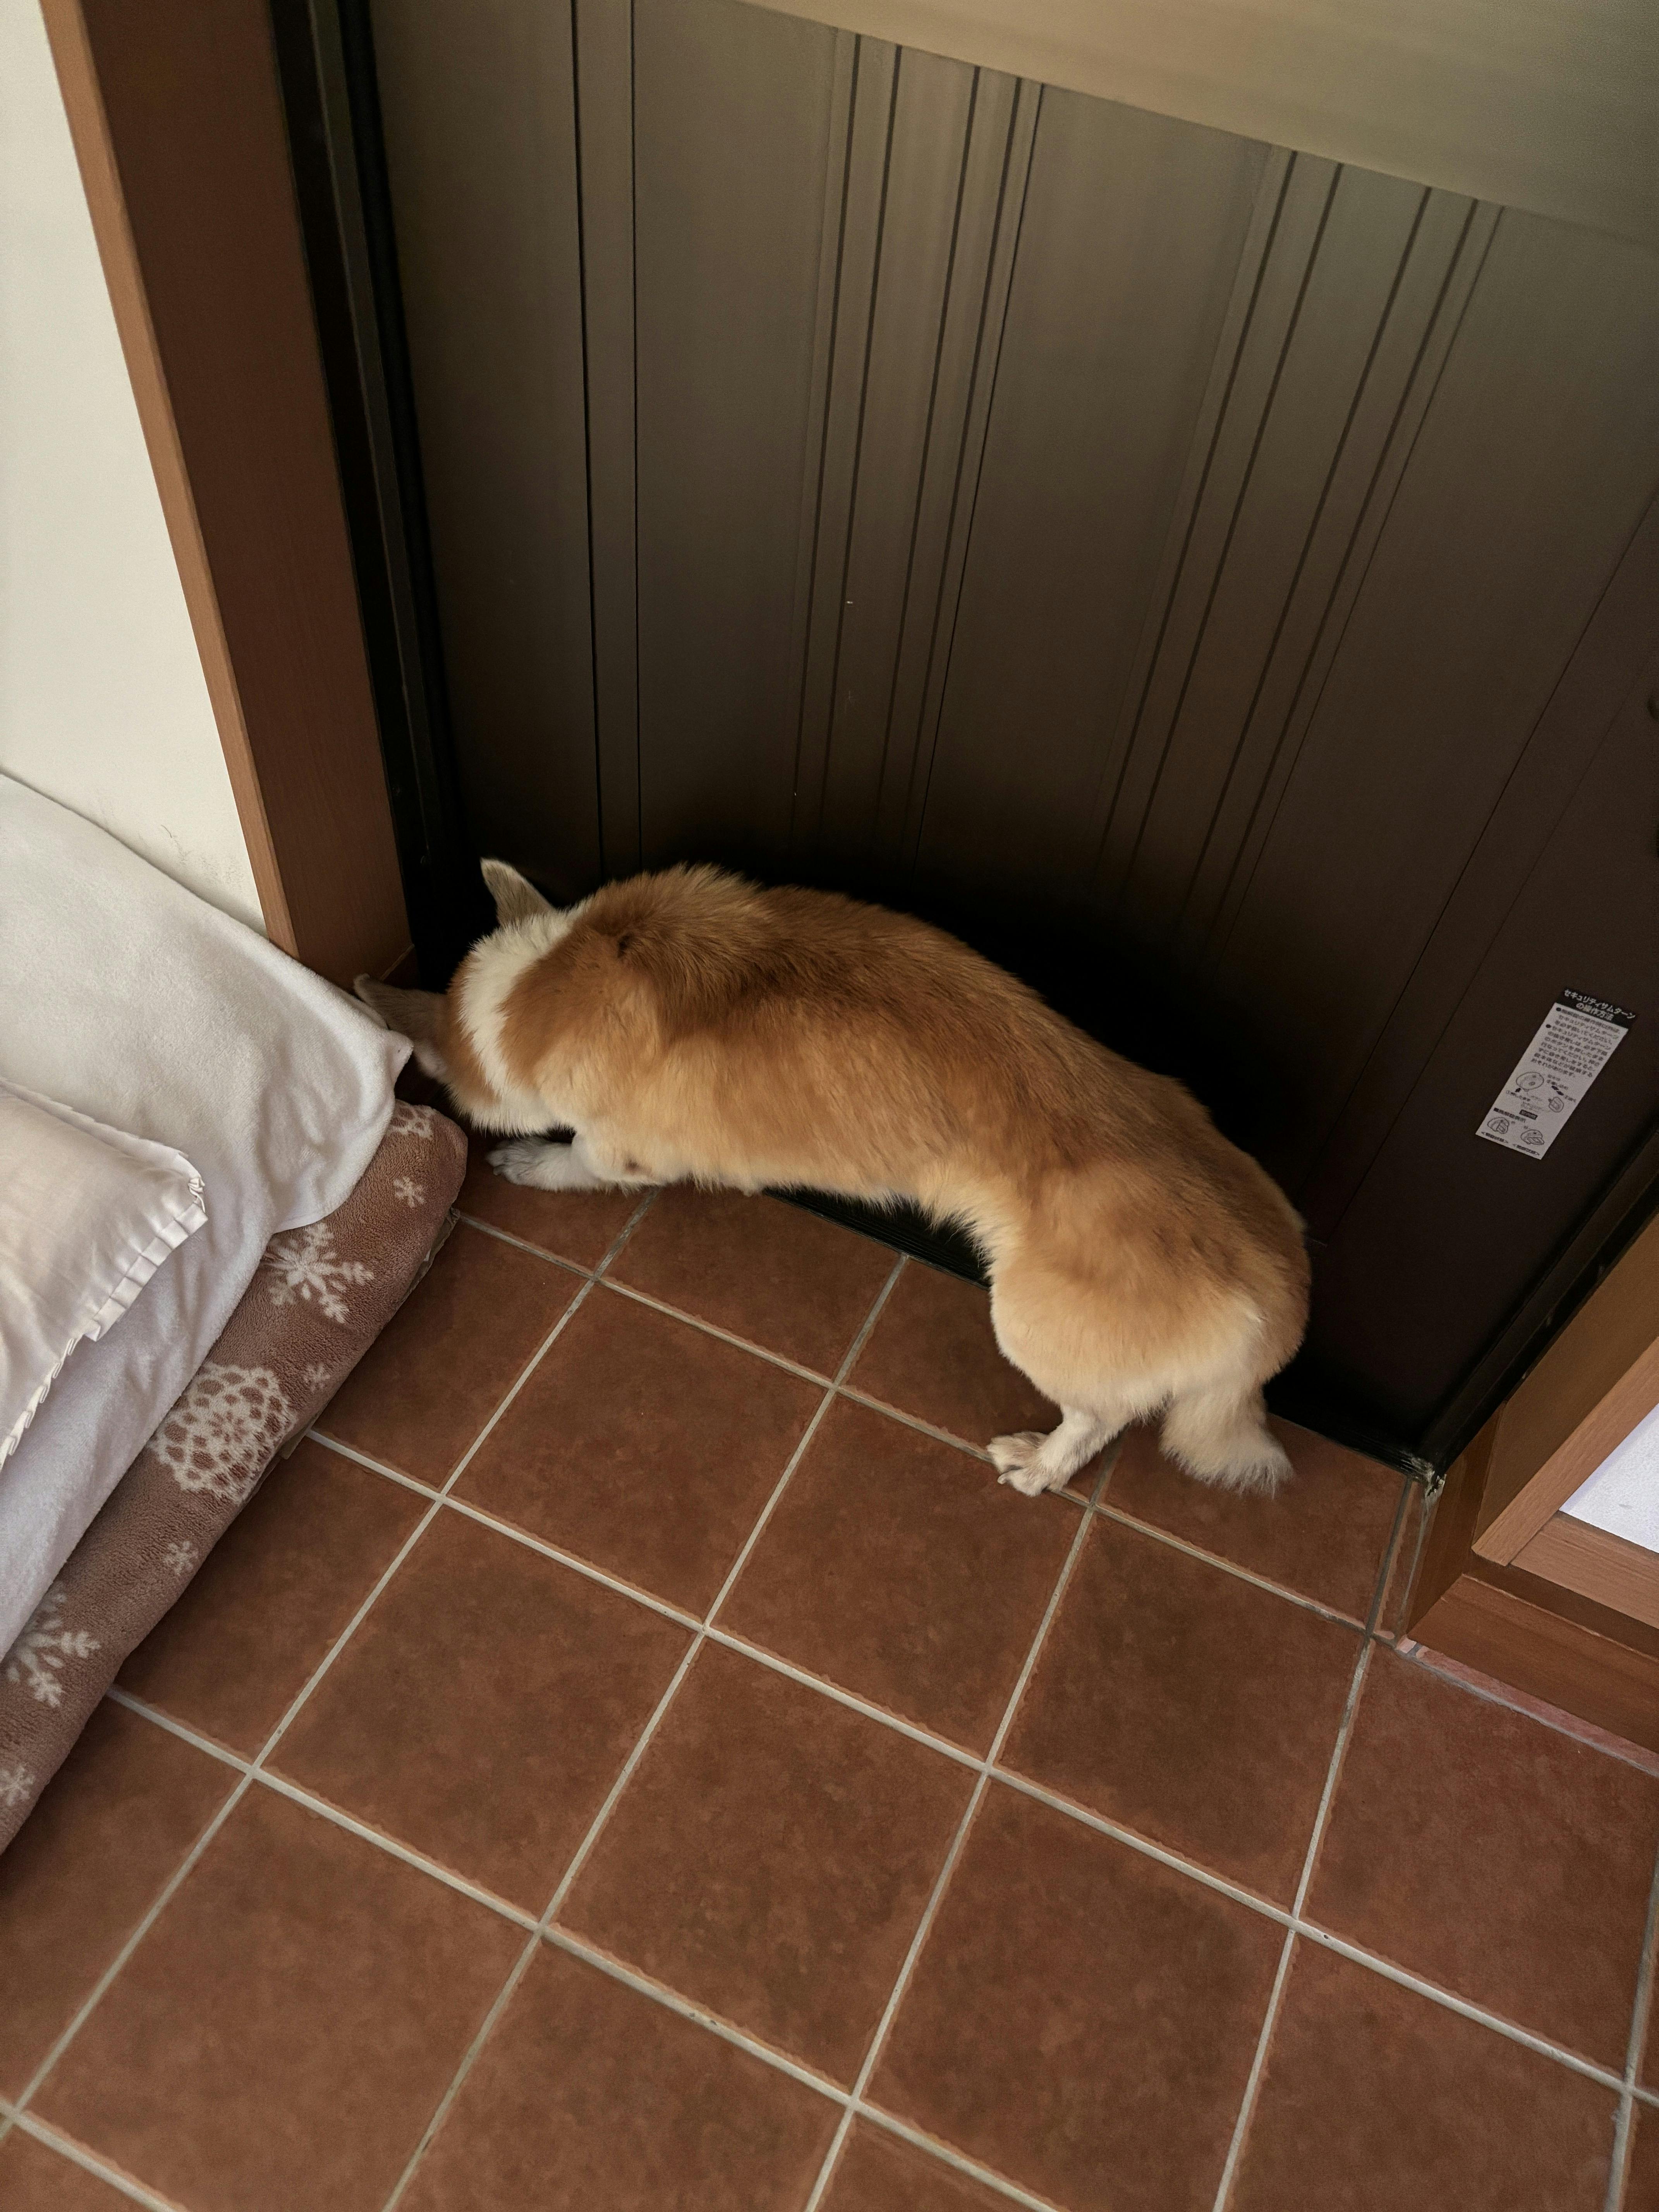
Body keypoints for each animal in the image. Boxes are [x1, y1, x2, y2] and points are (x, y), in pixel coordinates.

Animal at [357, 859, 1309, 1496]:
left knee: (1098, 1418)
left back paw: (1037, 1464)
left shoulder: (616, 1148)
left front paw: (531, 1162)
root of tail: (1281, 1288)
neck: (549, 977)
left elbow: (576, 1161)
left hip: (1030, 1322)